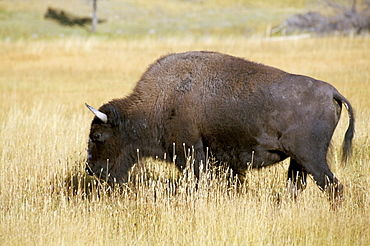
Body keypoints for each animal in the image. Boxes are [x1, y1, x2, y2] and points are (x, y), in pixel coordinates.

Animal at [85, 50, 354, 202]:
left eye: (98, 136)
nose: (91, 169)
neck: (161, 100)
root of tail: (332, 92)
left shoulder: (191, 154)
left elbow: (197, 181)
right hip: (299, 162)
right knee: (298, 187)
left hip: (311, 158)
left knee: (333, 187)